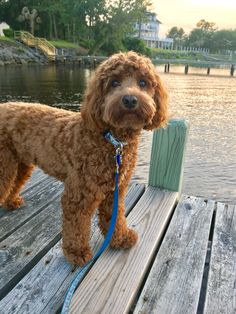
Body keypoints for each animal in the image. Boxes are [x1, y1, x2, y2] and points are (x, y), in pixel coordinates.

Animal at [0, 51, 168, 264]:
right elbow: (77, 226)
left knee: (14, 184)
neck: (112, 141)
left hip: (21, 163)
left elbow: (115, 217)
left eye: (143, 82)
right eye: (114, 82)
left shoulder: (116, 190)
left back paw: (11, 202)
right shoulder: (79, 194)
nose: (130, 100)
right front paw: (77, 252)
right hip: (4, 163)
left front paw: (120, 238)